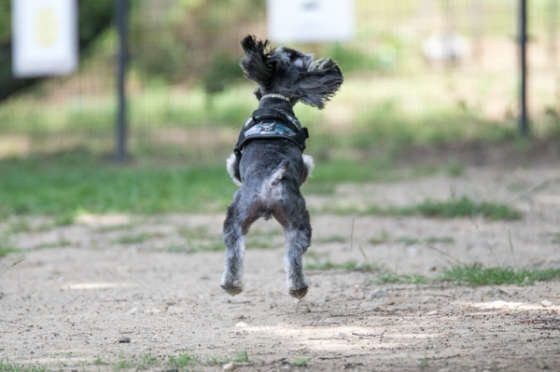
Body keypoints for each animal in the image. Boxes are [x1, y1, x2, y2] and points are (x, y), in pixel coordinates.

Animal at [221, 35, 344, 300]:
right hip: (296, 222)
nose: (306, 52)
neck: (275, 101)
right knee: (293, 256)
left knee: (236, 252)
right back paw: (298, 288)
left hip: (238, 221)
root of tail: (270, 181)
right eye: (295, 56)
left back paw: (232, 286)